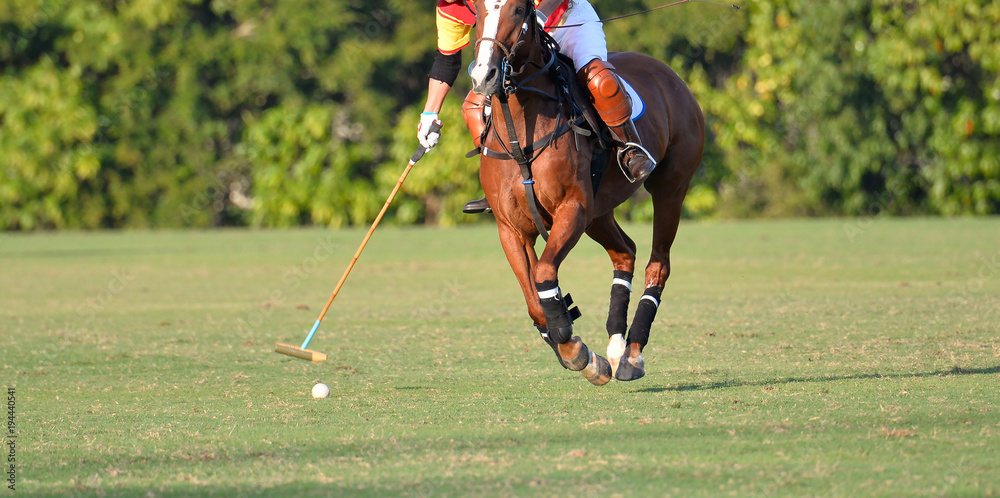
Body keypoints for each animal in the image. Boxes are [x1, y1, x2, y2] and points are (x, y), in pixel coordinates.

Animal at [468, 0, 704, 386]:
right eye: (476, 11)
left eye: (518, 10)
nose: (484, 76)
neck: (522, 133)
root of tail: (669, 74)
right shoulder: (511, 228)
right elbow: (535, 300)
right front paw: (583, 355)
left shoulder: (572, 208)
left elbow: (544, 273)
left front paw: (578, 353)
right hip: (599, 212)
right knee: (625, 253)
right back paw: (616, 346)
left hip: (671, 186)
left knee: (658, 264)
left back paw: (633, 354)